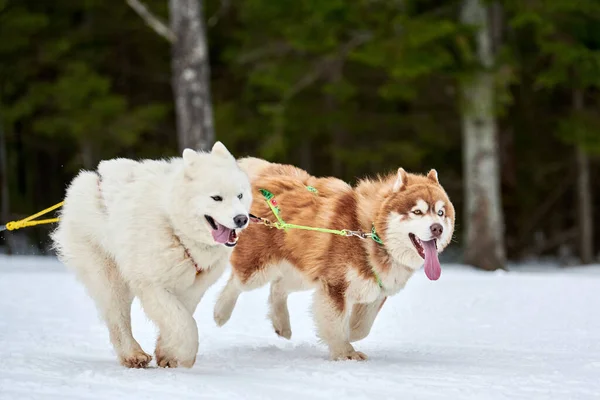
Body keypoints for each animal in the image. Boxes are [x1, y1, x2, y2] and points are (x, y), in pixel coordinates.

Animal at [48, 141, 251, 368]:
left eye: (240, 196)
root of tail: (89, 178)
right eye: (216, 198)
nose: (241, 219)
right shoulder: (152, 285)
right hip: (110, 277)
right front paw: (184, 355)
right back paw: (132, 354)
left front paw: (167, 353)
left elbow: (181, 317)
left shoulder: (192, 287)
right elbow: (184, 324)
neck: (174, 228)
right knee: (118, 319)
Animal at [214, 158, 454, 360]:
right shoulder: (334, 286)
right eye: (417, 212)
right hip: (257, 270)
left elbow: (361, 328)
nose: (437, 228)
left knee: (278, 287)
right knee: (237, 282)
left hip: (304, 271)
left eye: (441, 213)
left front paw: (350, 335)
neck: (371, 233)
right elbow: (336, 323)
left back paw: (281, 323)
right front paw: (344, 352)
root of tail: (265, 175)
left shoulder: (376, 291)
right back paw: (220, 313)